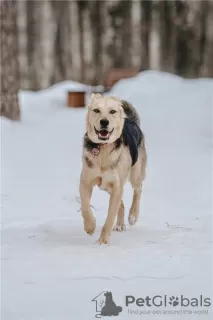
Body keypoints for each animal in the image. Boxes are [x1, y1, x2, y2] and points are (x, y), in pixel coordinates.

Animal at [79, 94, 147, 244]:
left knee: (138, 189)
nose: (104, 122)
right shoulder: (86, 182)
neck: (103, 149)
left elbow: (110, 216)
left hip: (135, 173)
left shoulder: (116, 186)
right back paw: (120, 224)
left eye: (112, 111)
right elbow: (85, 206)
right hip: (106, 187)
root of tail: (131, 121)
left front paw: (103, 241)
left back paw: (133, 215)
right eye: (96, 110)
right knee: (121, 204)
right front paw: (90, 226)